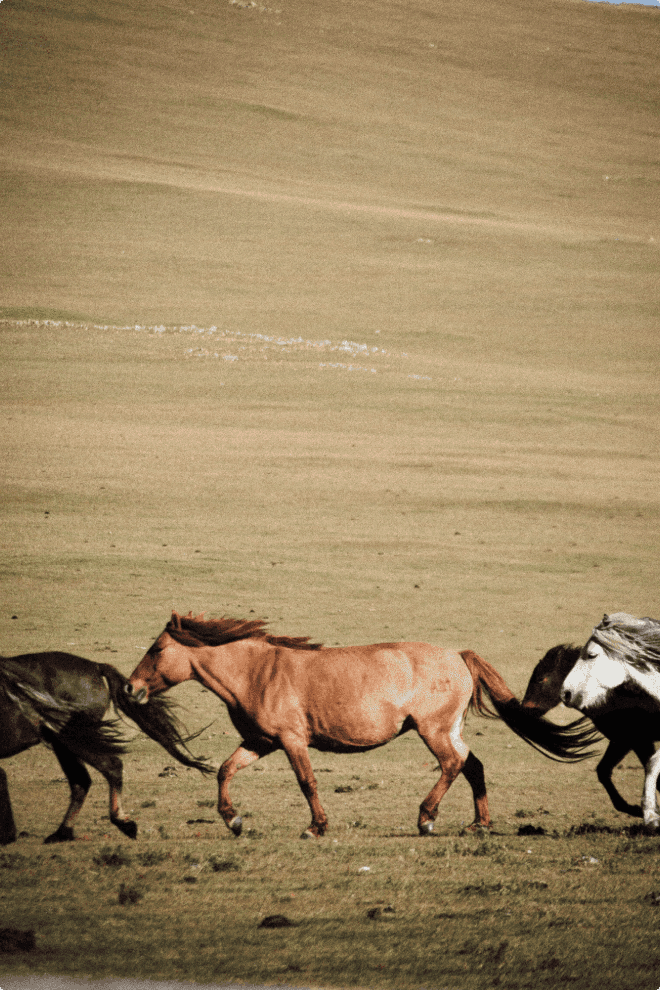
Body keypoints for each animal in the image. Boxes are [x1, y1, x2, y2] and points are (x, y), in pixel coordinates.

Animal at [0, 652, 211, 844]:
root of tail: (95, 666)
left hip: (71, 739)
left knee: (109, 767)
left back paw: (121, 823)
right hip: (65, 742)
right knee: (82, 780)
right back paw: (62, 833)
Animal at [125, 616, 600, 840]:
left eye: (156, 649)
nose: (130, 688)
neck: (257, 672)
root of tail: (459, 656)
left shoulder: (292, 741)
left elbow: (307, 782)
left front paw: (316, 827)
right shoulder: (260, 742)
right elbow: (225, 770)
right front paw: (234, 820)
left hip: (433, 731)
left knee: (453, 765)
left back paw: (427, 818)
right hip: (449, 729)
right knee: (473, 765)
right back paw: (477, 825)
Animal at [524, 644, 656, 820]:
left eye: (541, 679)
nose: (523, 709)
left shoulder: (636, 739)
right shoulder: (623, 740)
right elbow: (603, 771)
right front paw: (635, 809)